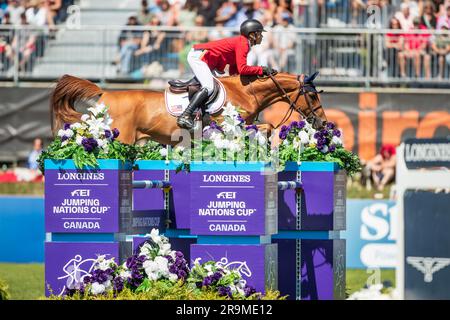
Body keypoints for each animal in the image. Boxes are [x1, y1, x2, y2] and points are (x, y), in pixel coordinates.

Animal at [51, 72, 326, 145]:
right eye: (312, 95)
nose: (323, 122)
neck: (245, 91)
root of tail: (105, 93)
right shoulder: (231, 127)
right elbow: (266, 126)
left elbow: (265, 126)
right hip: (121, 139)